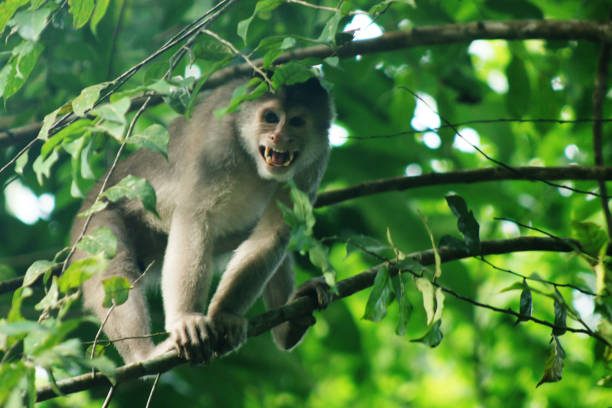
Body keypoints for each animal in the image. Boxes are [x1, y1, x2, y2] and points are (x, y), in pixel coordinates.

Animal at [71, 75, 334, 364]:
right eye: (271, 117)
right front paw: (186, 319)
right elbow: (195, 215)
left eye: (296, 122)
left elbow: (275, 232)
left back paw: (288, 328)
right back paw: (144, 355)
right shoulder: (218, 141)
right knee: (113, 267)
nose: (278, 137)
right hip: (93, 224)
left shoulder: (315, 162)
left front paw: (226, 315)